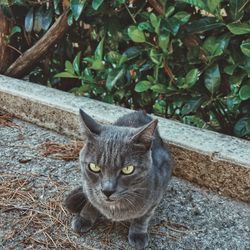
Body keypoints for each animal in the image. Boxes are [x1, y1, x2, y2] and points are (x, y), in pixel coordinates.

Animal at [64, 110, 172, 250]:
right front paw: (85, 217)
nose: (107, 190)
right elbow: (91, 202)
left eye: (128, 169)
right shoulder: (89, 187)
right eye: (94, 167)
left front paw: (138, 233)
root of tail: (141, 112)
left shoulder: (156, 196)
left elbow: (144, 216)